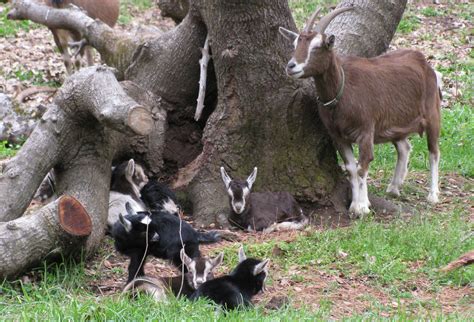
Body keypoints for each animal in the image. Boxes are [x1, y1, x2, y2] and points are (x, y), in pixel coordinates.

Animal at [282, 8, 440, 219]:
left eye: (318, 46)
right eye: (295, 44)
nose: (291, 66)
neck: (343, 90)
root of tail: (422, 61)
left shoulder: (366, 130)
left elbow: (362, 166)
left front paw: (363, 207)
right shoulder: (337, 136)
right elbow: (350, 168)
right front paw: (354, 205)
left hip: (432, 113)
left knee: (434, 152)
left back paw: (433, 195)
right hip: (394, 123)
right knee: (404, 147)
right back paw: (393, 188)